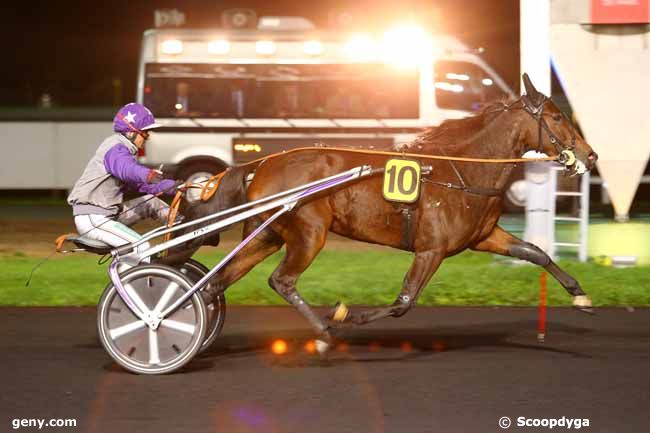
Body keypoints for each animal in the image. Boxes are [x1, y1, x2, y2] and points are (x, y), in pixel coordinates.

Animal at [166, 73, 596, 352]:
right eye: (557, 117)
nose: (590, 155)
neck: (461, 170)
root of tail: (263, 163)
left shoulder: (484, 236)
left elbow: (534, 252)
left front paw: (580, 295)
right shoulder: (431, 250)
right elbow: (403, 303)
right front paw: (345, 317)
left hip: (269, 234)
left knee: (217, 284)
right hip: (309, 232)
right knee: (281, 281)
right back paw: (323, 334)